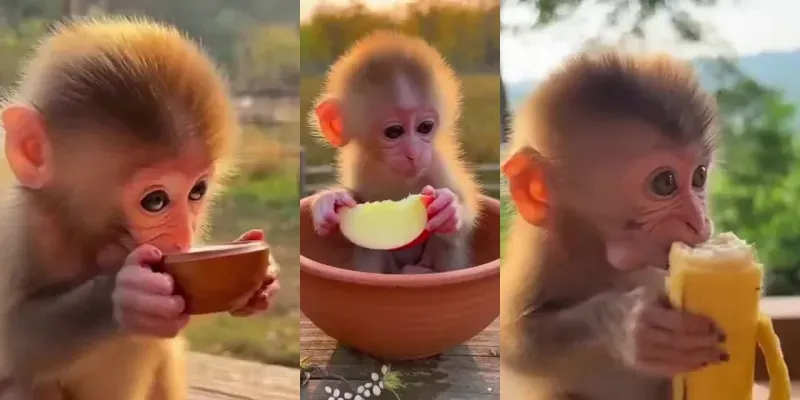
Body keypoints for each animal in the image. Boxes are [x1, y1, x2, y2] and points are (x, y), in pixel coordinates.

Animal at [0, 16, 280, 399]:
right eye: (155, 201)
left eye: (197, 191)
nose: (183, 236)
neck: (93, 236)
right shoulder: (24, 228)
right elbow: (15, 343)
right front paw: (125, 296)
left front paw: (265, 279)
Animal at [306, 30, 482, 275]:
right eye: (394, 132)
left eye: (425, 127)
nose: (414, 153)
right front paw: (330, 199)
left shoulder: (435, 161)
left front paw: (450, 206)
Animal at [499, 50, 731, 400]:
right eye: (665, 183)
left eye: (699, 176)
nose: (700, 221)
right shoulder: (541, 256)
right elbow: (513, 344)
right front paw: (627, 324)